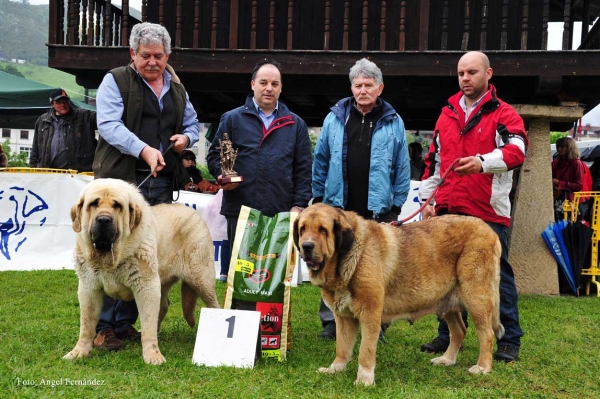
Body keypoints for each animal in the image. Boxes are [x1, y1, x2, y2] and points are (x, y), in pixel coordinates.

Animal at [62, 178, 220, 366]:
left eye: (117, 205)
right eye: (94, 203)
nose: (104, 220)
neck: (111, 255)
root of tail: (193, 212)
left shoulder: (146, 286)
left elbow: (148, 321)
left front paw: (152, 355)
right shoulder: (89, 288)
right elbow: (86, 325)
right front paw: (79, 351)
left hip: (201, 280)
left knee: (215, 306)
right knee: (163, 306)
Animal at [292, 205, 504, 386]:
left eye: (323, 230)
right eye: (302, 229)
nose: (306, 246)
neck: (348, 258)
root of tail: (489, 230)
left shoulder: (370, 314)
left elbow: (365, 350)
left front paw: (364, 380)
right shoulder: (344, 317)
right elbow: (342, 347)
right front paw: (335, 369)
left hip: (476, 297)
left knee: (487, 334)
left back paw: (482, 367)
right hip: (448, 301)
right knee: (459, 330)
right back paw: (447, 359)